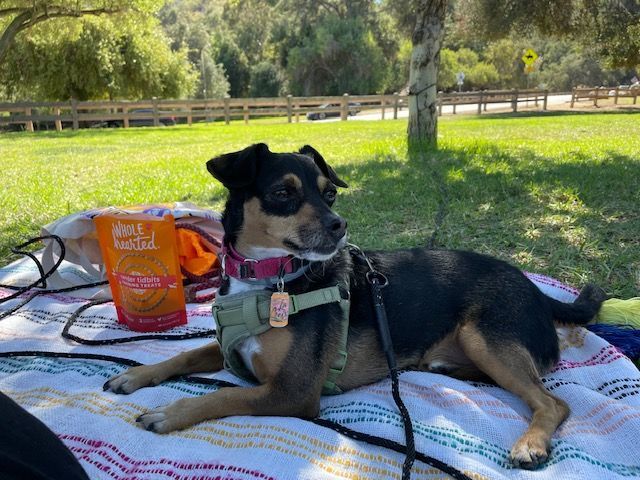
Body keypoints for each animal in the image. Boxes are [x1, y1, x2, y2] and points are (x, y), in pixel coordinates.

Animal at [105, 142, 604, 468]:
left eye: (330, 193)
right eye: (283, 193)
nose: (339, 224)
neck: (271, 279)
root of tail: (537, 290)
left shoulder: (292, 392)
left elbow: (224, 394)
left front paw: (170, 413)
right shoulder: (230, 346)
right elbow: (186, 353)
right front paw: (136, 375)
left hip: (486, 337)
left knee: (554, 403)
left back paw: (530, 443)